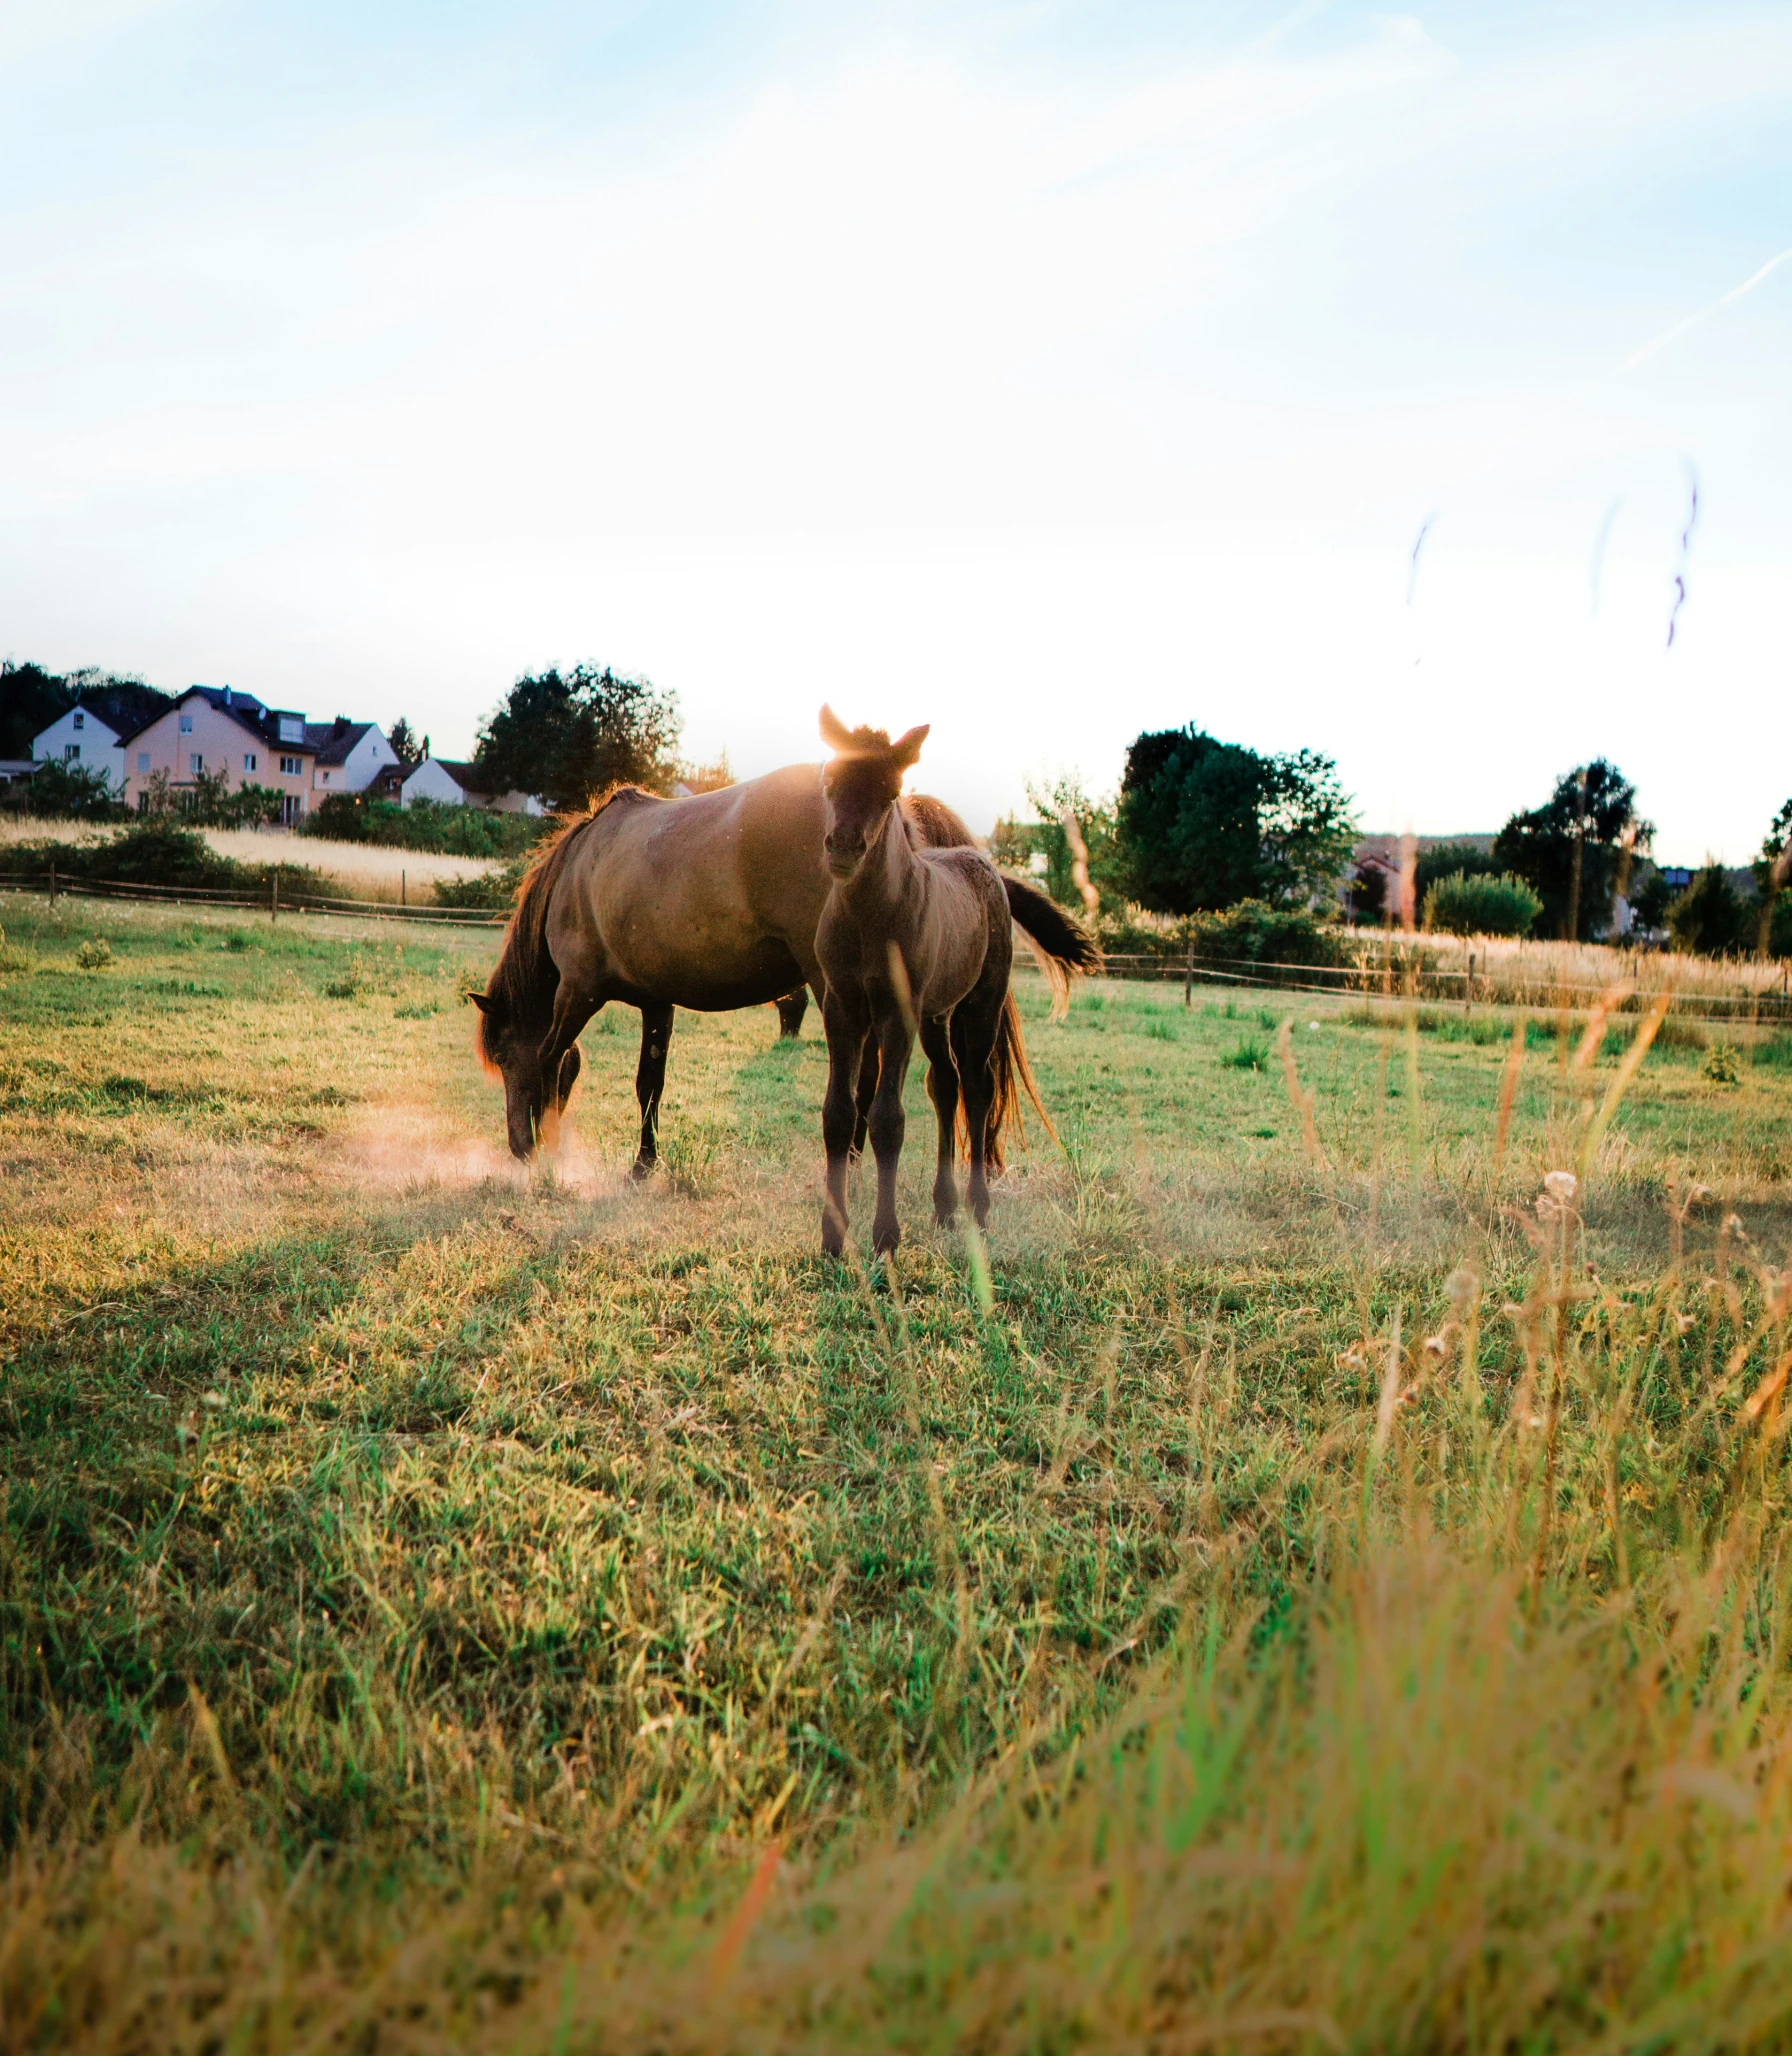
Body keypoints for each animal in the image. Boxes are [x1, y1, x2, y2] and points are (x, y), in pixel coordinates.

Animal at [468, 764, 1015, 1176]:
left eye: (503, 1057)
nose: (518, 1148)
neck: (579, 869)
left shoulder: (576, 993)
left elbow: (549, 1060)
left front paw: (551, 1153)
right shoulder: (656, 1003)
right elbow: (648, 1085)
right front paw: (643, 1166)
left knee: (864, 1077)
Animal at [817, 711, 1101, 1250]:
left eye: (891, 790)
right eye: (829, 778)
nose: (842, 846)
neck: (868, 920)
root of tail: (988, 867)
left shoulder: (897, 1012)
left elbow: (887, 1119)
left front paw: (885, 1238)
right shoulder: (842, 1008)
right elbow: (839, 1114)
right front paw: (831, 1239)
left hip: (979, 1004)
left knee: (976, 1085)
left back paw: (977, 1207)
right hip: (936, 1013)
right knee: (944, 1085)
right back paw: (945, 1207)